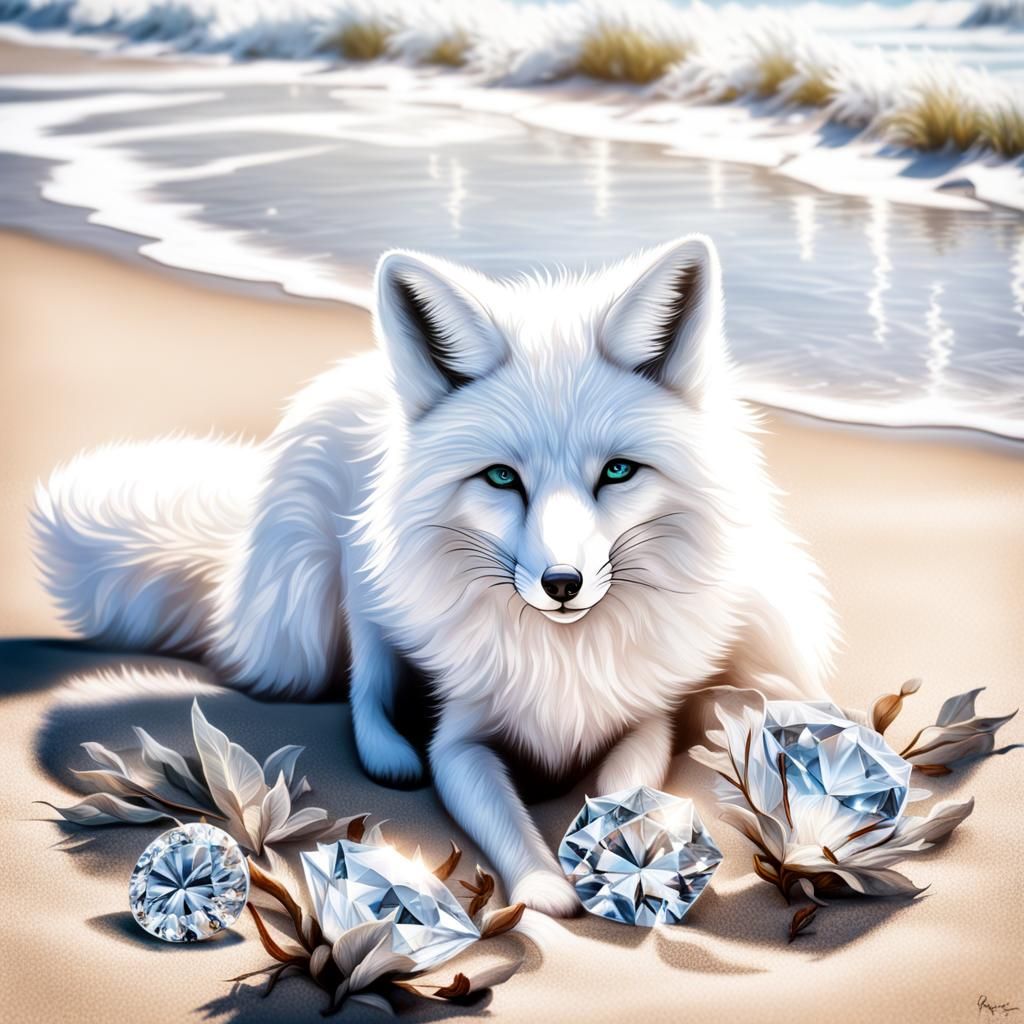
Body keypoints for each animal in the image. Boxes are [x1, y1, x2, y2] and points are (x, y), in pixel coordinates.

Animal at [33, 235, 835, 916]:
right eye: (502, 477)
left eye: (616, 472)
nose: (563, 584)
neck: (562, 658)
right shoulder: (460, 743)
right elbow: (501, 815)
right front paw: (544, 886)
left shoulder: (644, 717)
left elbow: (626, 781)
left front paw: (620, 840)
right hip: (357, 585)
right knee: (364, 681)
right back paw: (388, 751)